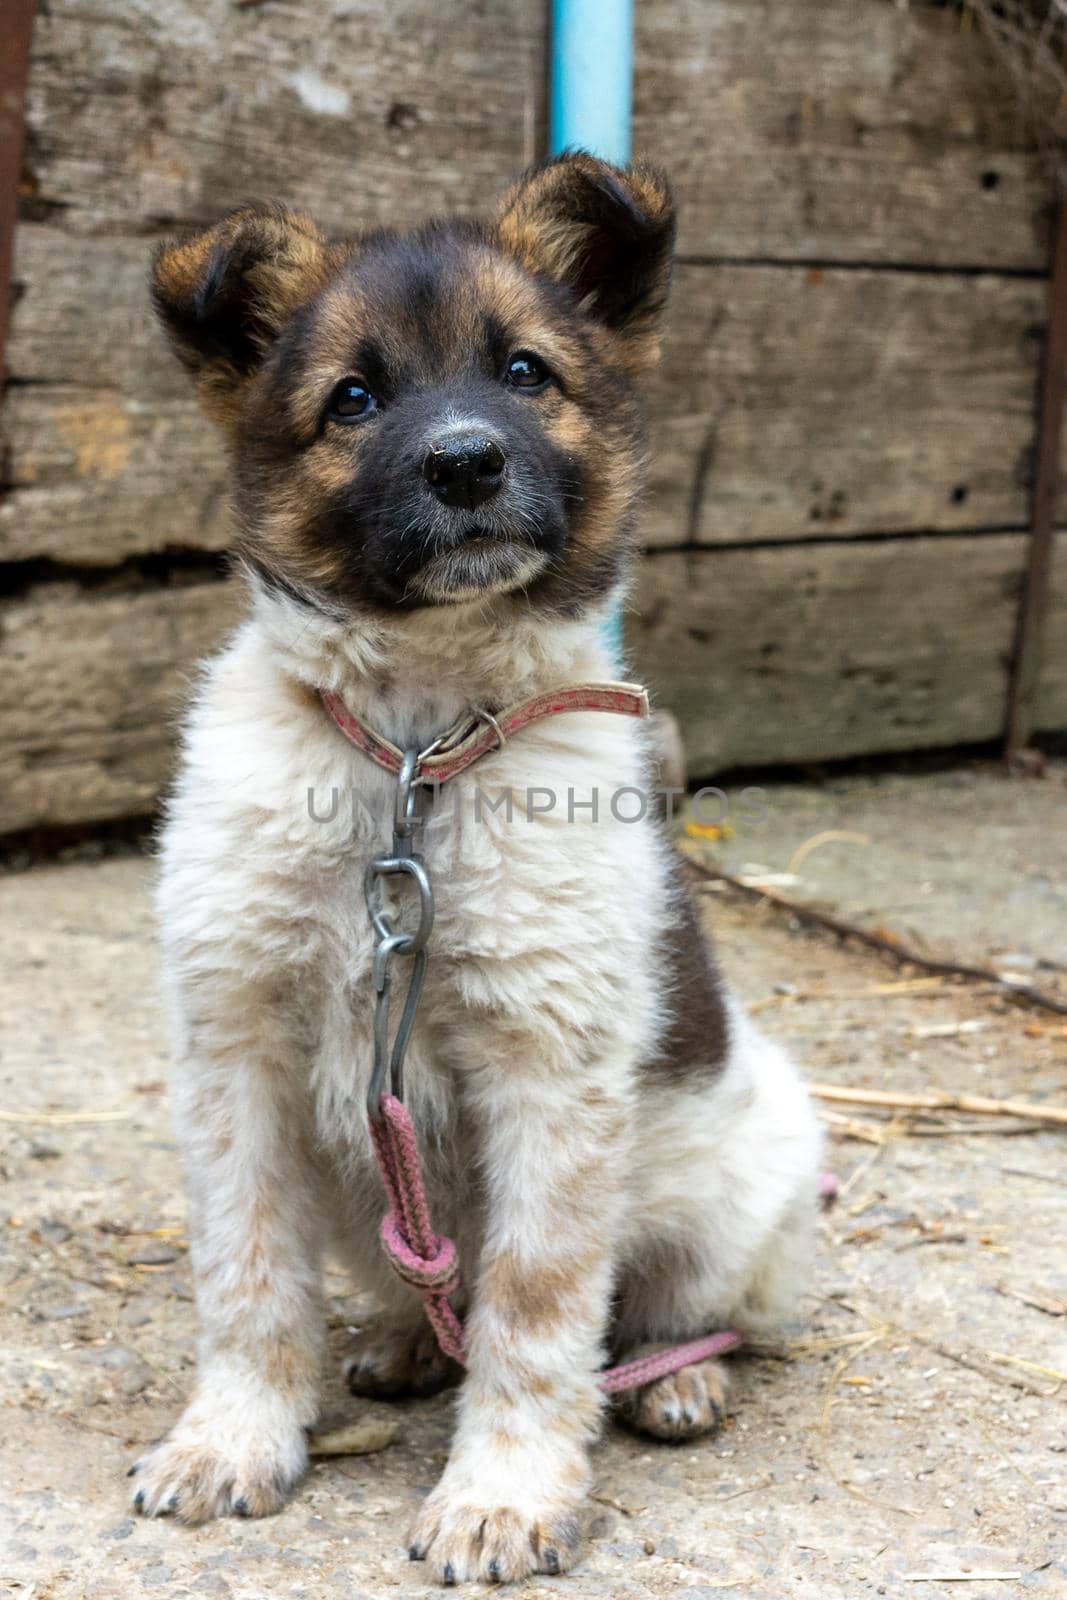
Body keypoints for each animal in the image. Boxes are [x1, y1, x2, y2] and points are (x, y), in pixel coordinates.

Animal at [131, 152, 819, 1587]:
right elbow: (246, 1278)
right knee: (418, 1278)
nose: (464, 462)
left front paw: (502, 1493)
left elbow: (535, 1308)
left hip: (738, 1192)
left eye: (521, 373)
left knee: (677, 1315)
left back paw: (678, 1380)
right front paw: (234, 1438)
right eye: (352, 396)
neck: (413, 750)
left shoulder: (547, 1075)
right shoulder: (236, 1057)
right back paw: (400, 1342)